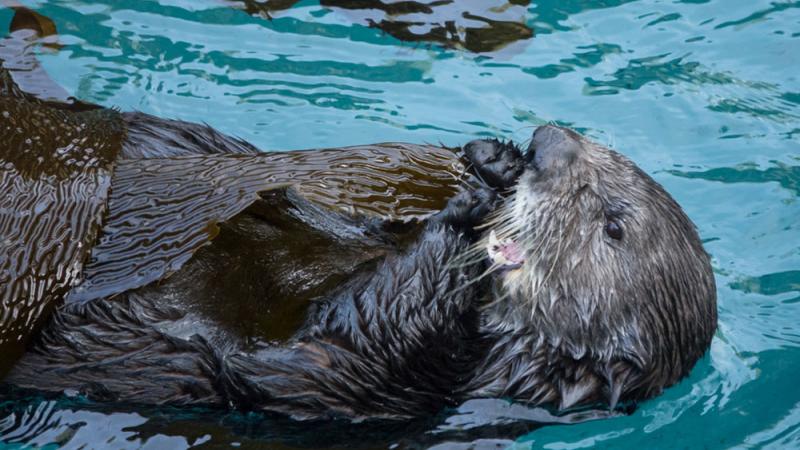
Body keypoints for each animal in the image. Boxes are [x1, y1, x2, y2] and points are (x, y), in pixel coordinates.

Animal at [0, 6, 716, 422]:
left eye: (613, 226)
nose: (549, 142)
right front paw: (491, 163)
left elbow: (326, 343)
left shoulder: (372, 385)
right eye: (599, 150)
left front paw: (471, 216)